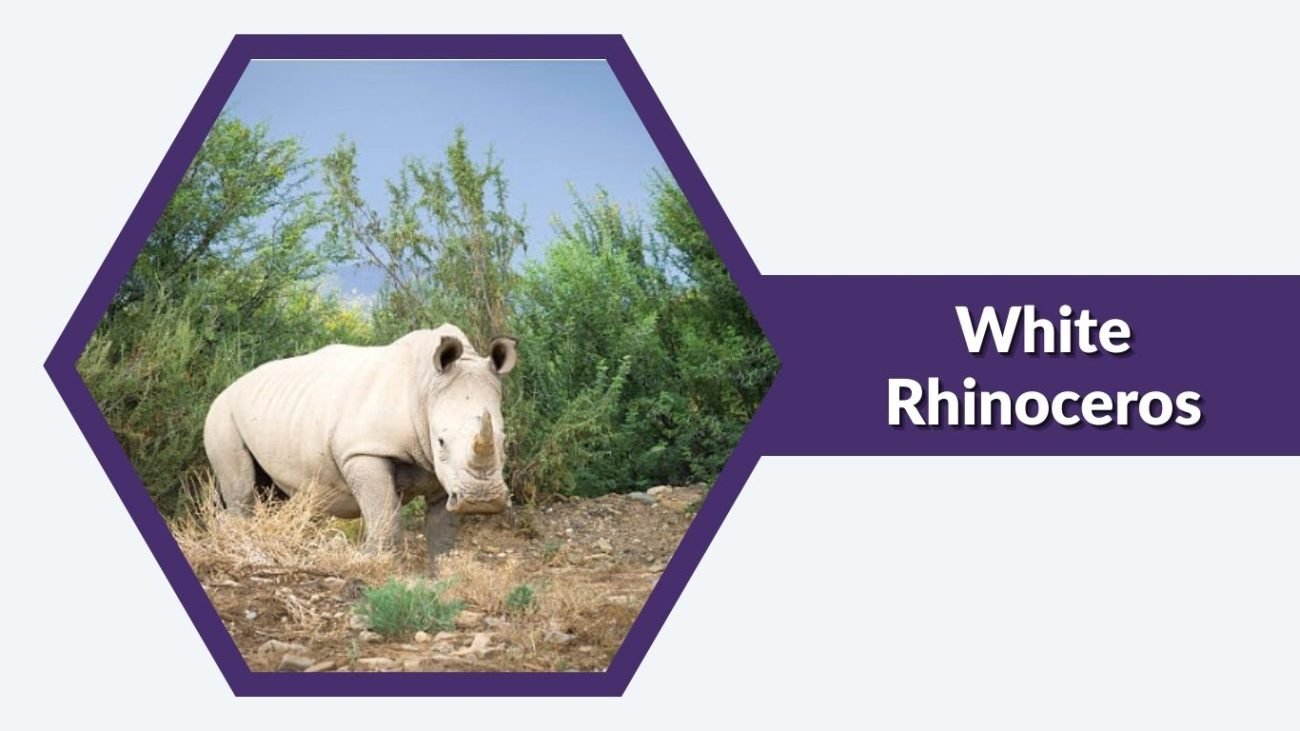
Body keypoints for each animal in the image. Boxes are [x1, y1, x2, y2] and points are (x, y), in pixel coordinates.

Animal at [203, 325, 518, 551]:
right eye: (441, 441)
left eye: (503, 441)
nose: (481, 500)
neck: (426, 388)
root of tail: (230, 385)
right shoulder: (364, 451)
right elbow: (385, 519)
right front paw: (379, 564)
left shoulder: (445, 476)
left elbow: (443, 533)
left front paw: (440, 574)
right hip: (221, 414)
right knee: (242, 491)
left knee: (270, 493)